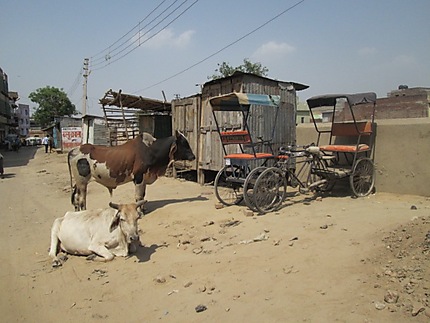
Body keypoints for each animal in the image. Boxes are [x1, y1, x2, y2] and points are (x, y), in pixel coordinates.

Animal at [67, 130, 195, 211]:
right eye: (184, 143)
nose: (193, 156)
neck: (151, 150)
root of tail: (75, 149)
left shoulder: (144, 178)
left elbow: (143, 196)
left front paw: (143, 209)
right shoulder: (138, 177)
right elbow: (138, 196)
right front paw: (140, 212)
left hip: (79, 183)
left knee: (76, 199)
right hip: (82, 182)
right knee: (82, 200)